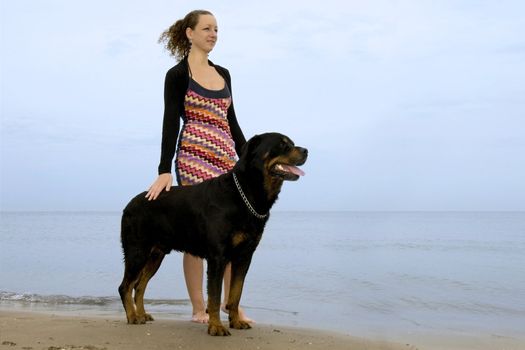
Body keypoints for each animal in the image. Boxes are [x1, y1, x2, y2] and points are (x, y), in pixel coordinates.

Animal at [118, 133, 308, 334]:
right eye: (282, 145)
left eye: (292, 143)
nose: (306, 151)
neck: (247, 195)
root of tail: (128, 205)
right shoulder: (218, 256)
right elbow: (215, 296)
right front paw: (216, 327)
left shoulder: (244, 256)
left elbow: (235, 294)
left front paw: (236, 321)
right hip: (137, 251)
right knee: (125, 286)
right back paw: (132, 316)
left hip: (156, 254)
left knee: (139, 285)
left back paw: (141, 314)